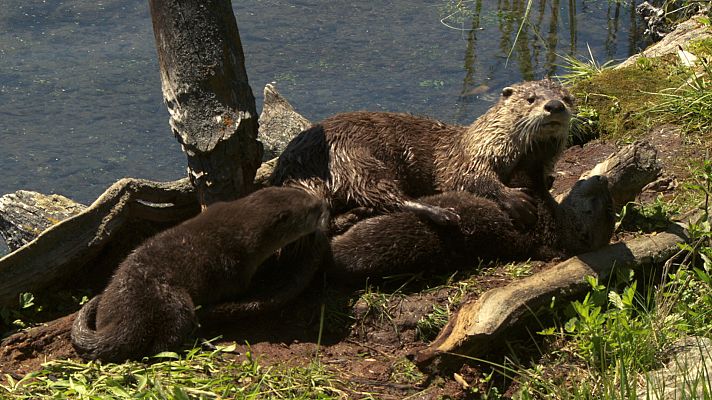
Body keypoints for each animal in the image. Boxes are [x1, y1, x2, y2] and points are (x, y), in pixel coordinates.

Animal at [71, 188, 328, 362]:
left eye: (308, 196)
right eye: (312, 210)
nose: (323, 203)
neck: (245, 229)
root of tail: (123, 321)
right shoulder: (237, 267)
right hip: (174, 302)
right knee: (163, 344)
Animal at [270, 78, 576, 228]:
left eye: (568, 97)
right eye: (530, 99)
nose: (554, 105)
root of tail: (296, 165)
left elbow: (542, 180)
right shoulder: (468, 160)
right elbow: (473, 180)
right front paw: (515, 199)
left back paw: (355, 215)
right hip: (356, 158)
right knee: (387, 195)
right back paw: (444, 214)